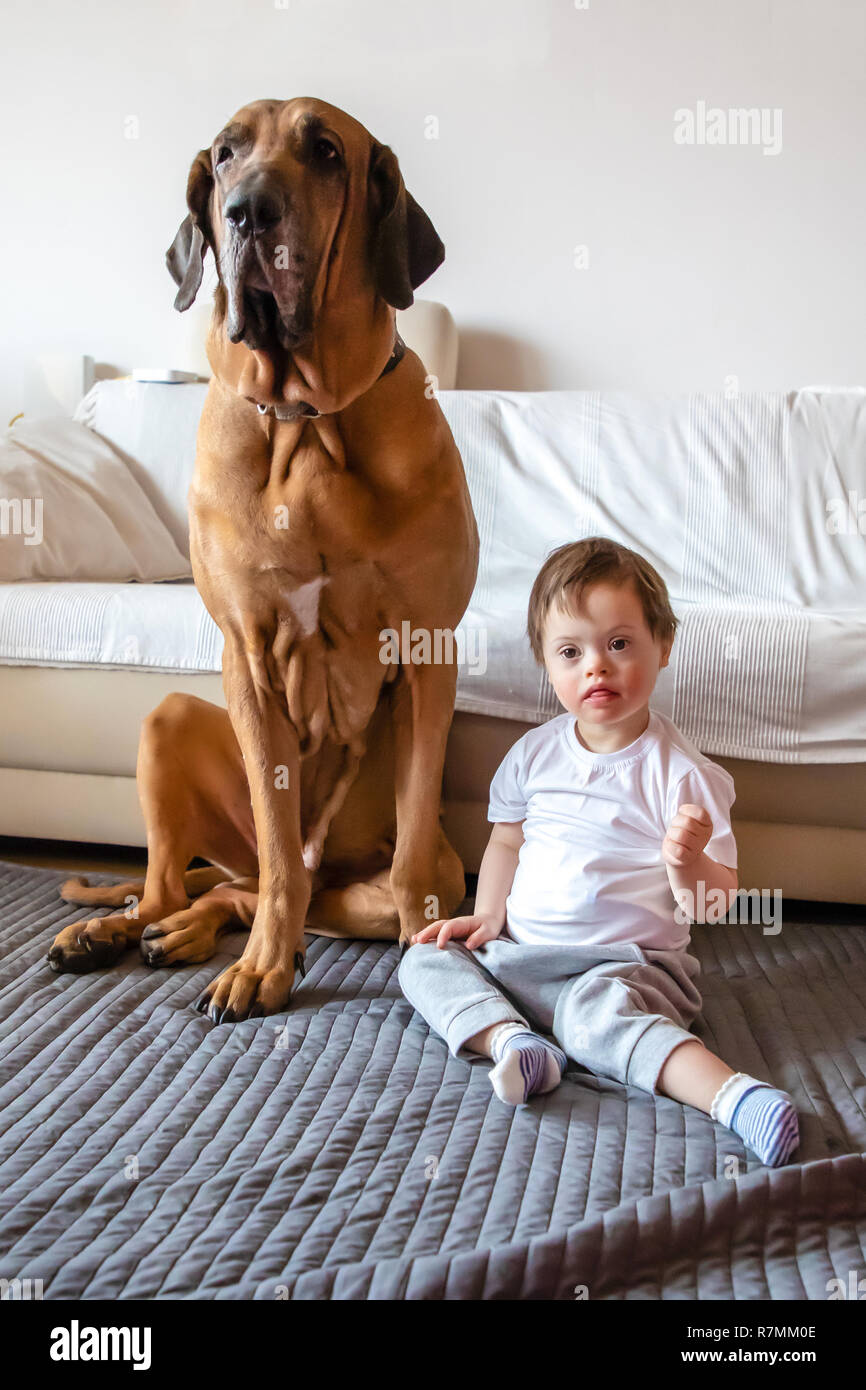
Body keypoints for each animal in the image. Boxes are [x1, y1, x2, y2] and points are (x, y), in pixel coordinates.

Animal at [45, 92, 480, 1017]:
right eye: (224, 154)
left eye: (325, 152)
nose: (248, 211)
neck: (307, 425)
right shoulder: (244, 653)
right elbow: (280, 855)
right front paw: (262, 970)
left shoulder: (430, 655)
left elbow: (410, 857)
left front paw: (432, 959)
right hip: (167, 721)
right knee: (202, 882)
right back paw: (124, 931)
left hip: (370, 877)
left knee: (262, 891)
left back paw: (180, 934)